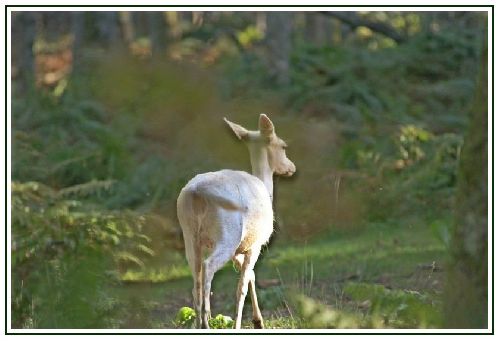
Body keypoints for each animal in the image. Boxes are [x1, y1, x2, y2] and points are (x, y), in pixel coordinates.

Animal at [176, 113, 294, 326]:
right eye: (283, 146)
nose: (292, 168)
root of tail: (197, 193)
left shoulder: (241, 248)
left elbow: (250, 276)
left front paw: (258, 321)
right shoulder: (255, 244)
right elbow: (242, 286)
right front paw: (248, 323)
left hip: (189, 235)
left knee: (196, 279)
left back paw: (200, 321)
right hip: (228, 234)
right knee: (208, 267)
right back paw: (206, 321)